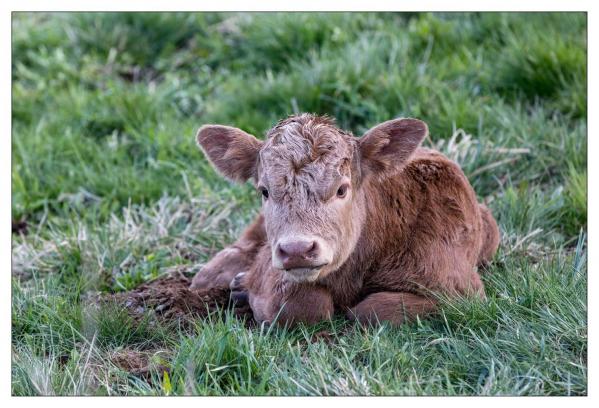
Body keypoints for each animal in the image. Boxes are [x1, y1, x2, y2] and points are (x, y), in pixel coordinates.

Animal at [192, 113, 502, 326]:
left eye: (342, 189)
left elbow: (372, 310)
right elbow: (305, 304)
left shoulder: (463, 292)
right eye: (264, 191)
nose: (297, 250)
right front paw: (245, 288)